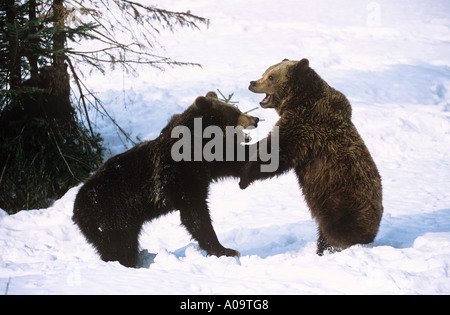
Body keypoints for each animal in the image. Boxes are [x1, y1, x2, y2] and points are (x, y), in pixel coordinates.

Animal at [72, 92, 258, 268]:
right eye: (236, 112)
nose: (255, 119)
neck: (199, 143)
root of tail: (77, 209)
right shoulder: (180, 173)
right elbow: (195, 211)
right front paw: (226, 250)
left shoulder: (207, 164)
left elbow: (233, 162)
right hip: (111, 215)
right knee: (120, 246)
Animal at [239, 59, 384, 256]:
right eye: (265, 72)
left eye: (271, 76)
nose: (252, 83)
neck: (300, 100)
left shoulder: (304, 127)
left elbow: (275, 154)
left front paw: (244, 178)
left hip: (341, 204)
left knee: (337, 233)